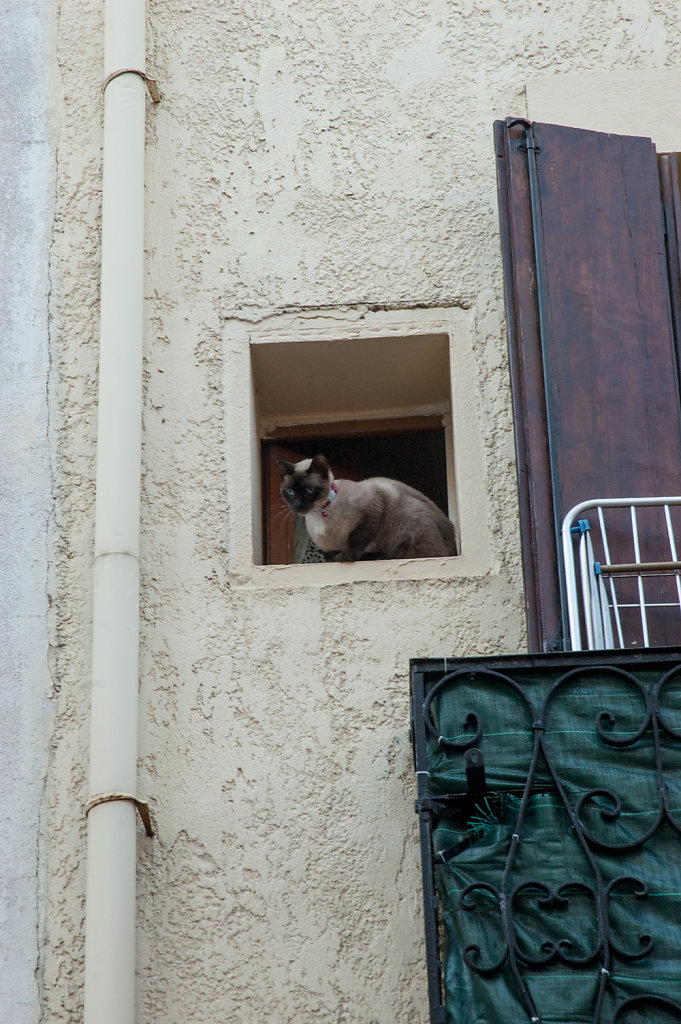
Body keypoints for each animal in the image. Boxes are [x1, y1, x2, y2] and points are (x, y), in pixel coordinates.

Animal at [272, 454, 456, 561]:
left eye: (309, 490)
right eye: (289, 491)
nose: (297, 505)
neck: (320, 513)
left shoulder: (372, 510)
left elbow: (357, 540)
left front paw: (346, 557)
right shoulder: (328, 547)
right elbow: (331, 555)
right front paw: (335, 558)